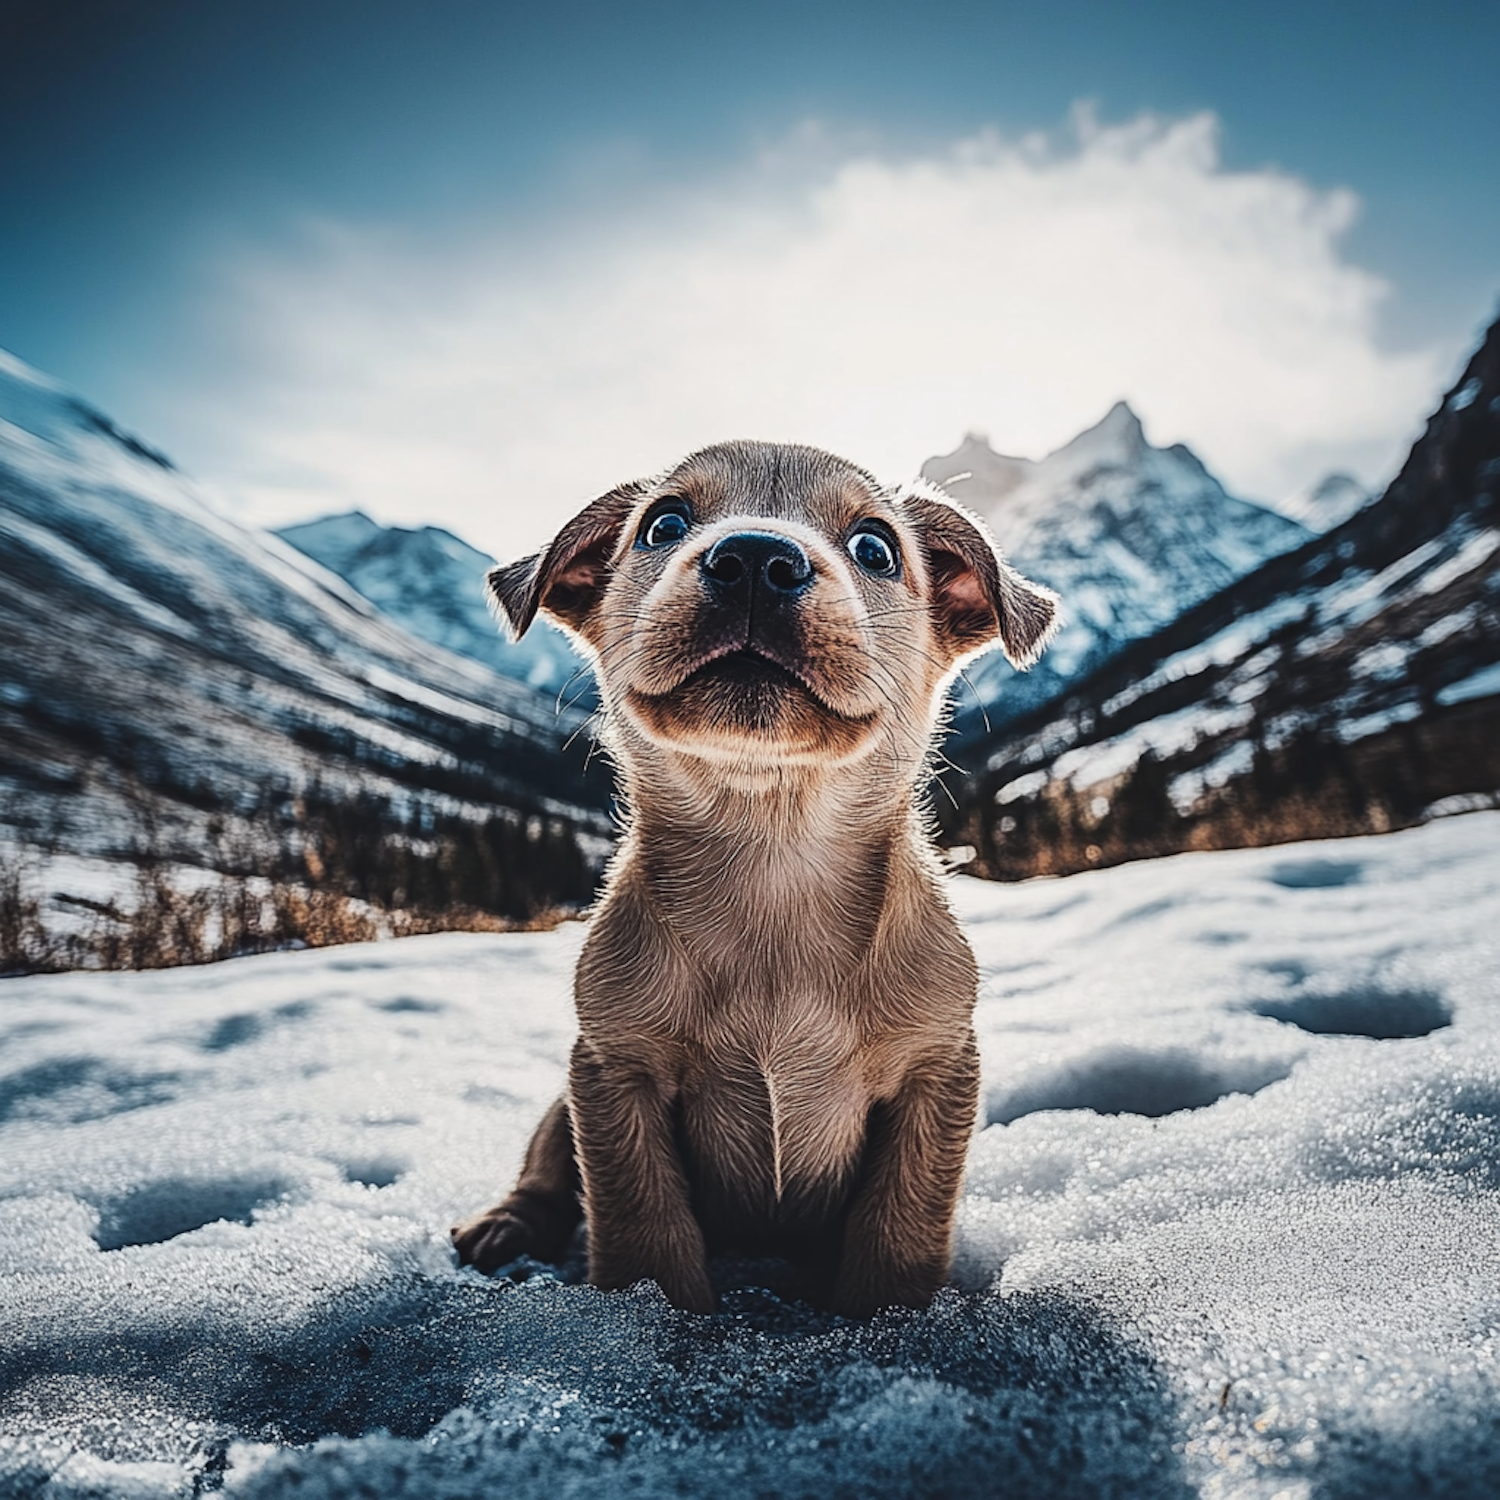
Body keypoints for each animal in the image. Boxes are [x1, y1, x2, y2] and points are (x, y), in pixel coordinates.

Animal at [450, 441, 1050, 1314]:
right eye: (663, 525)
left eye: (876, 547)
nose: (757, 558)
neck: (772, 855)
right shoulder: (614, 1072)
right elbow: (644, 1229)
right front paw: (651, 1318)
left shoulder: (934, 1071)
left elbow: (899, 1225)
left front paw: (888, 1314)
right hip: (561, 1104)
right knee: (543, 1172)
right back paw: (504, 1224)